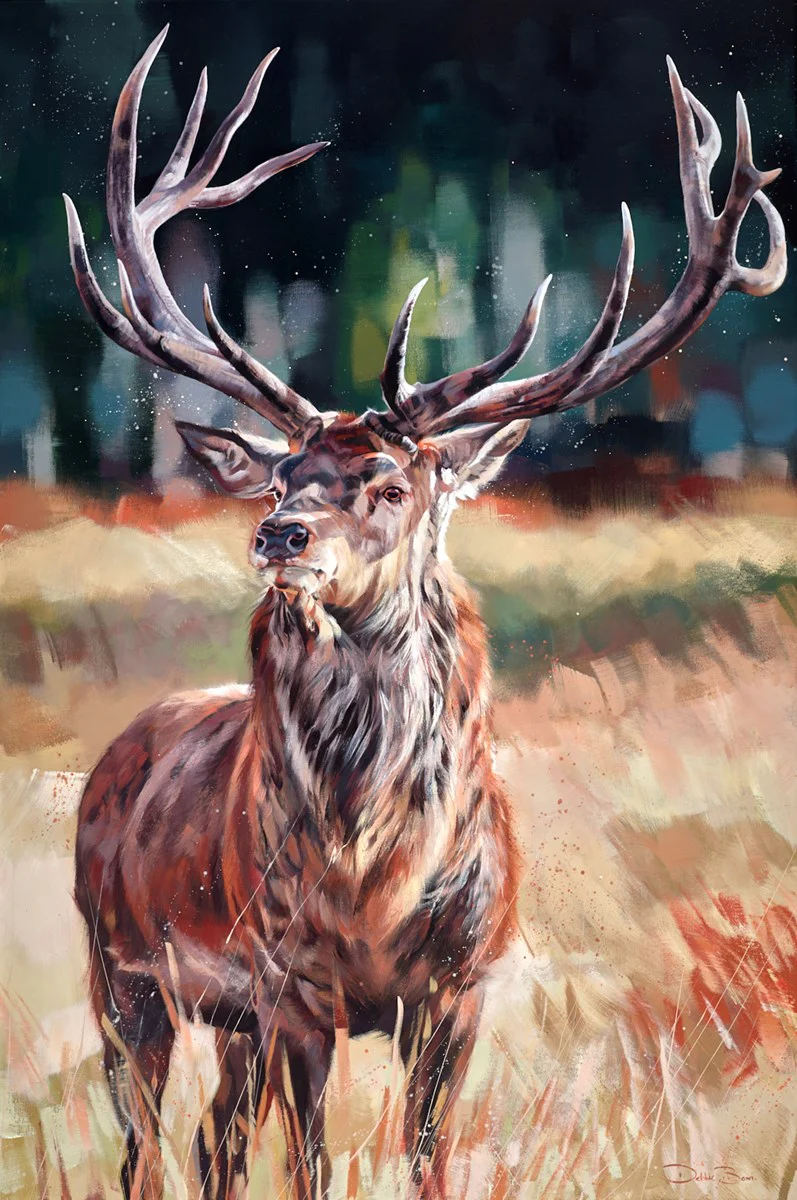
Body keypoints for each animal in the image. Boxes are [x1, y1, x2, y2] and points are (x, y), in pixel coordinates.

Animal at [64, 25, 786, 1200]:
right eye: (281, 477)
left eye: (392, 485)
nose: (279, 537)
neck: (374, 883)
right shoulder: (290, 988)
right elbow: (310, 1165)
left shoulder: (459, 990)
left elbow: (427, 1158)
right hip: (124, 975)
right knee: (145, 1146)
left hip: (220, 1016)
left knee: (215, 1142)